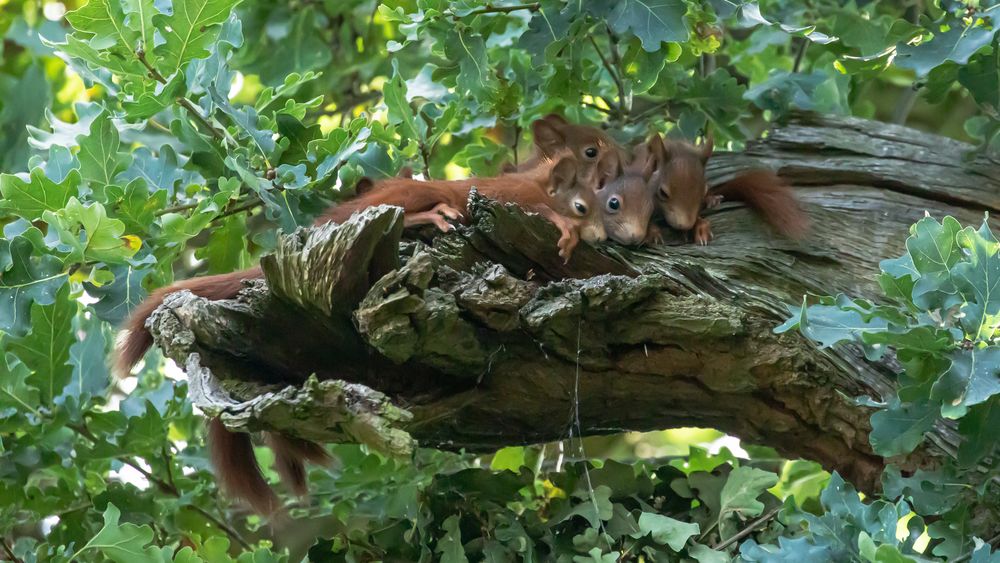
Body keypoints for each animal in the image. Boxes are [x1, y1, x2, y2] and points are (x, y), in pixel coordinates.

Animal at [644, 134, 808, 247]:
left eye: (703, 191)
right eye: (662, 193)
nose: (685, 226)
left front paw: (701, 228)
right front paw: (652, 234)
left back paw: (713, 200)